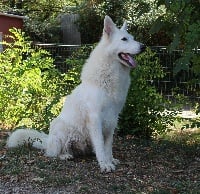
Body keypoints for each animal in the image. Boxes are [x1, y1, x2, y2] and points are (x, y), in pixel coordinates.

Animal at [7, 15, 145, 172]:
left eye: (132, 38)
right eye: (124, 39)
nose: (143, 46)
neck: (110, 77)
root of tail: (48, 140)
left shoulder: (113, 119)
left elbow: (107, 146)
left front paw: (110, 160)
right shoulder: (95, 118)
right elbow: (100, 145)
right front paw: (104, 164)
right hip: (61, 129)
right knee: (53, 152)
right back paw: (65, 155)